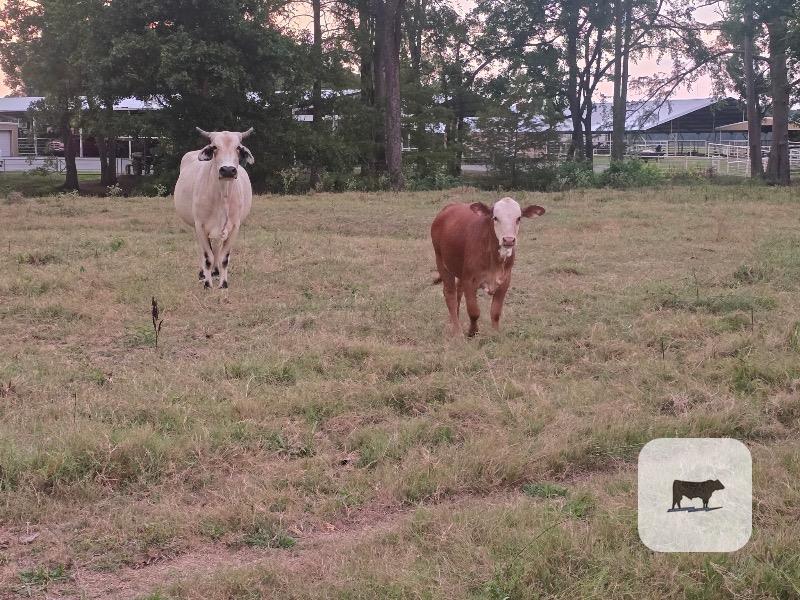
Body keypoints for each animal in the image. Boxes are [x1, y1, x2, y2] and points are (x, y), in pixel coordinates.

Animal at [174, 127, 255, 289]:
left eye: (238, 148)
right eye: (215, 147)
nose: (228, 170)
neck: (222, 195)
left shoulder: (234, 227)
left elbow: (224, 257)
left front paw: (223, 284)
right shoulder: (200, 225)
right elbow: (207, 257)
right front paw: (207, 283)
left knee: (217, 247)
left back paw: (216, 272)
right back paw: (203, 274)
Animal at [430, 197, 545, 336]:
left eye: (518, 218)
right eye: (495, 218)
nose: (508, 240)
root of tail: (448, 208)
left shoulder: (505, 281)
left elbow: (495, 312)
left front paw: (495, 333)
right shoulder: (470, 280)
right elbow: (474, 311)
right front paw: (472, 331)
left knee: (458, 291)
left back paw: (454, 320)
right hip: (441, 262)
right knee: (450, 294)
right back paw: (457, 331)